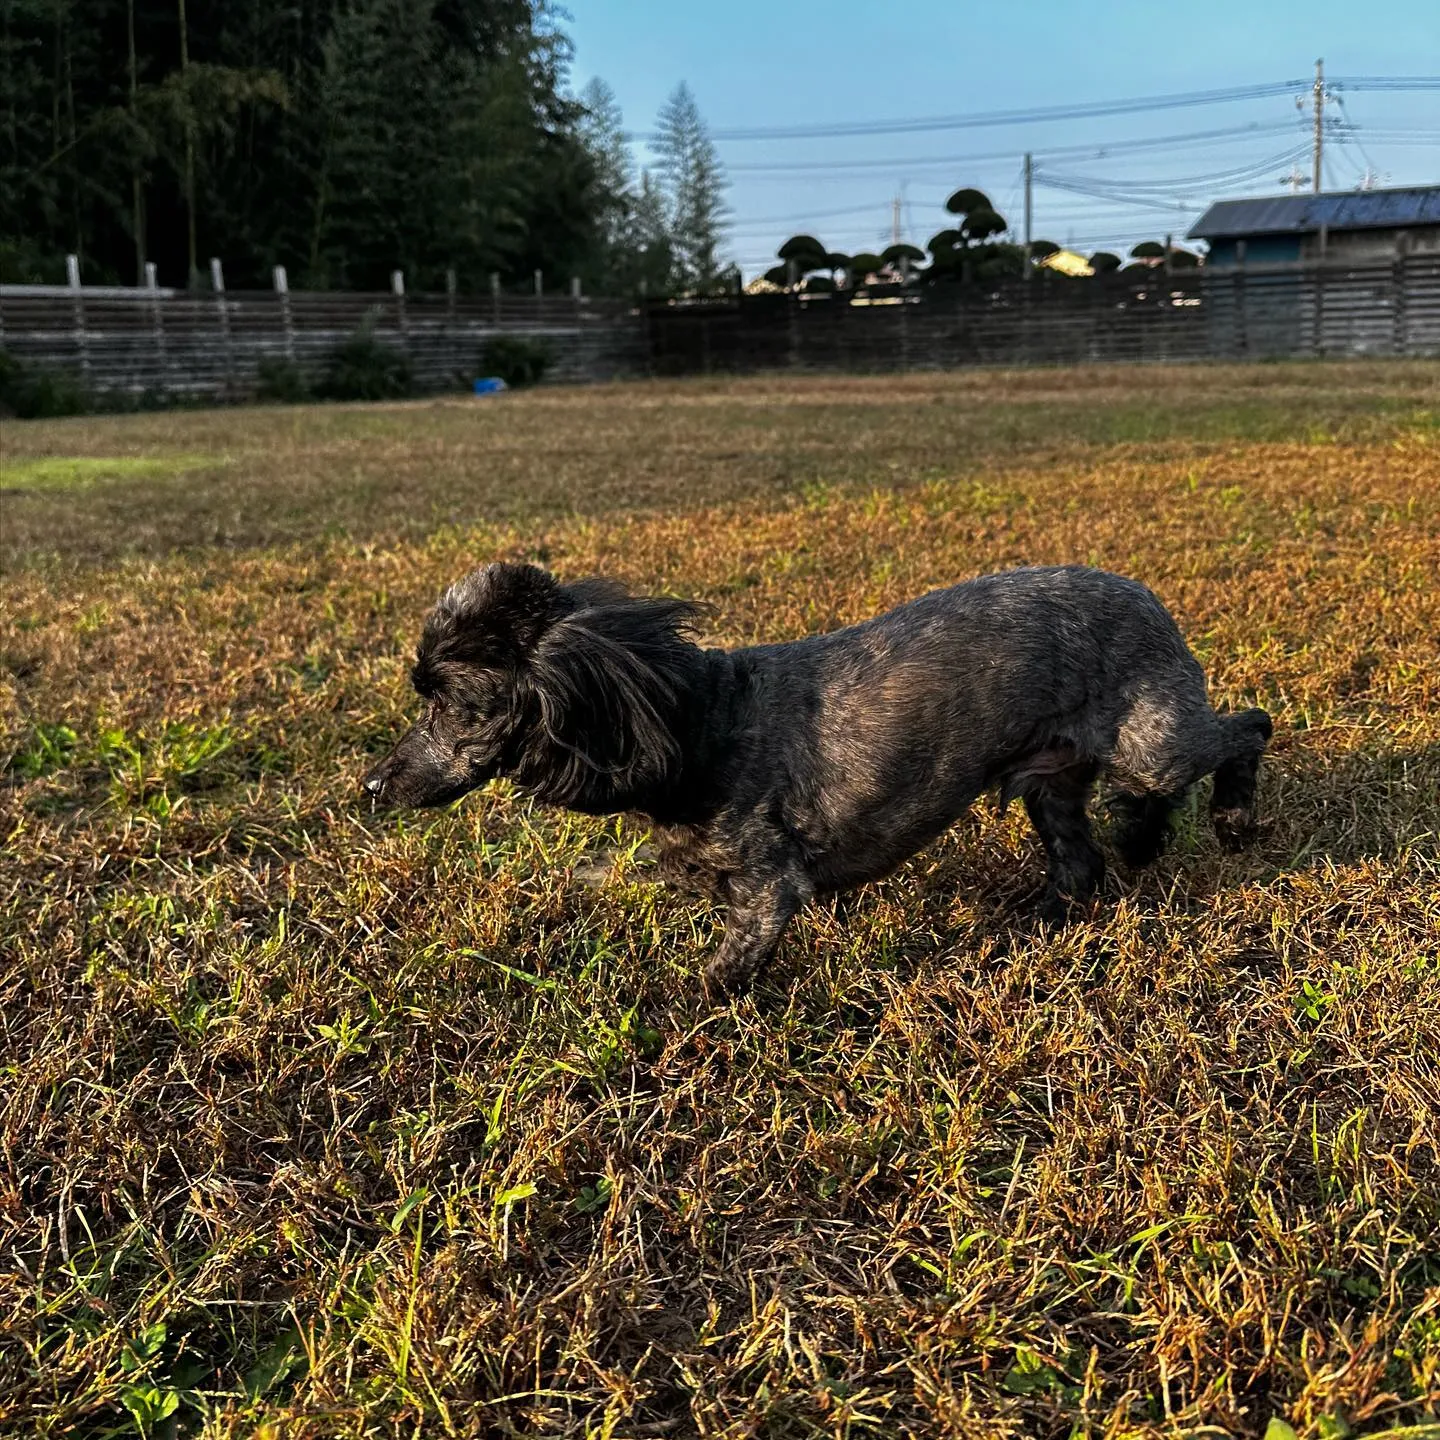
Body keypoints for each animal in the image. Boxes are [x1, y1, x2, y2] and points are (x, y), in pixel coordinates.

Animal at [362, 564, 1272, 1002]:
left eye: (453, 703)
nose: (370, 786)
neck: (695, 724)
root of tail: (1147, 595)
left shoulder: (770, 889)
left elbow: (723, 970)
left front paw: (675, 1013)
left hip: (1154, 740)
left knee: (1248, 728)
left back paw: (1231, 820)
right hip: (1054, 785)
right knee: (1084, 859)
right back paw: (1068, 895)